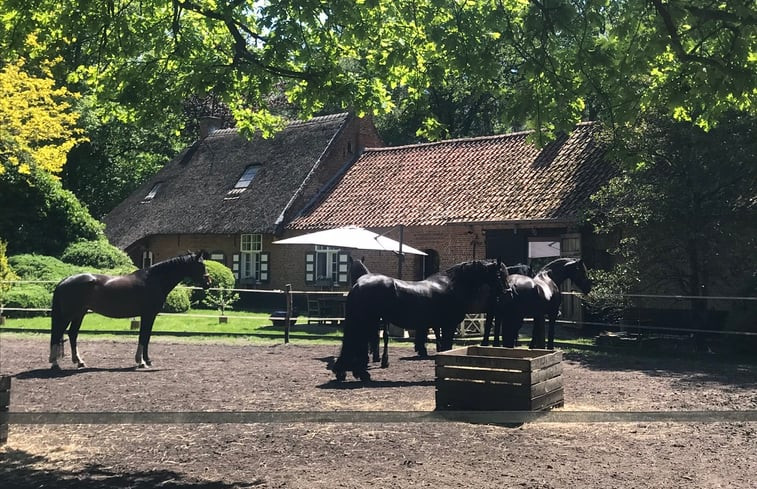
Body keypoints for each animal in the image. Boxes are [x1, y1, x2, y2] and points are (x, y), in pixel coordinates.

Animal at [49, 250, 210, 368]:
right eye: (201, 266)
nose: (208, 282)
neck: (154, 280)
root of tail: (64, 281)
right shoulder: (148, 314)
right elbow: (144, 336)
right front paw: (142, 361)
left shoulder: (149, 315)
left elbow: (146, 336)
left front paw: (146, 360)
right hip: (68, 315)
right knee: (58, 333)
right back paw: (55, 363)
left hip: (79, 314)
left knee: (72, 334)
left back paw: (80, 362)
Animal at [330, 260, 508, 382]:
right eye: (500, 274)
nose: (507, 291)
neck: (452, 286)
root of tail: (358, 284)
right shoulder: (448, 326)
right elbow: (446, 348)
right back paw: (357, 373)